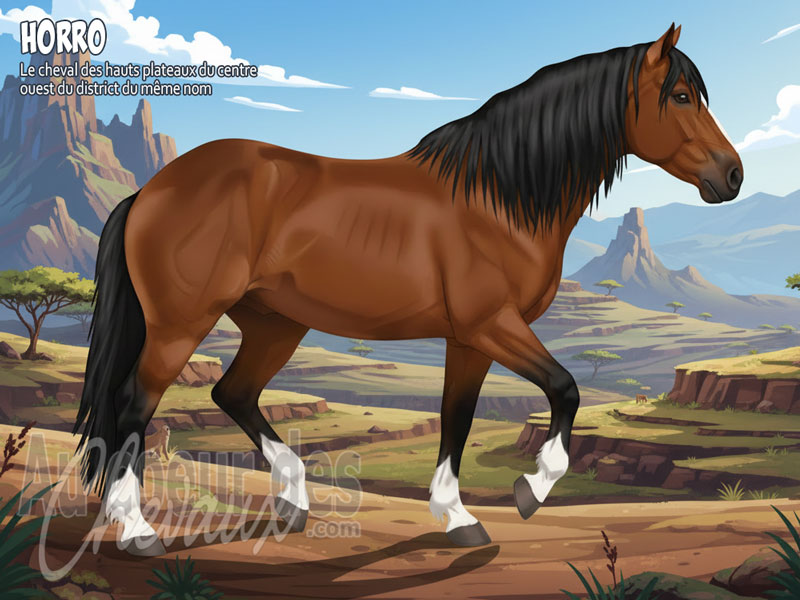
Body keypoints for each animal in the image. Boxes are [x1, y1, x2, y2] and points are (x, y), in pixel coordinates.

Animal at [73, 24, 742, 555]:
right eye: (680, 95)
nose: (732, 175)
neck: (498, 198)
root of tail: (150, 191)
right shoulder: (491, 325)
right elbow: (566, 389)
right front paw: (531, 489)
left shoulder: (469, 340)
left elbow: (457, 419)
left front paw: (458, 517)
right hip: (180, 324)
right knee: (135, 405)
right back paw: (137, 531)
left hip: (275, 323)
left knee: (232, 393)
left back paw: (294, 500)